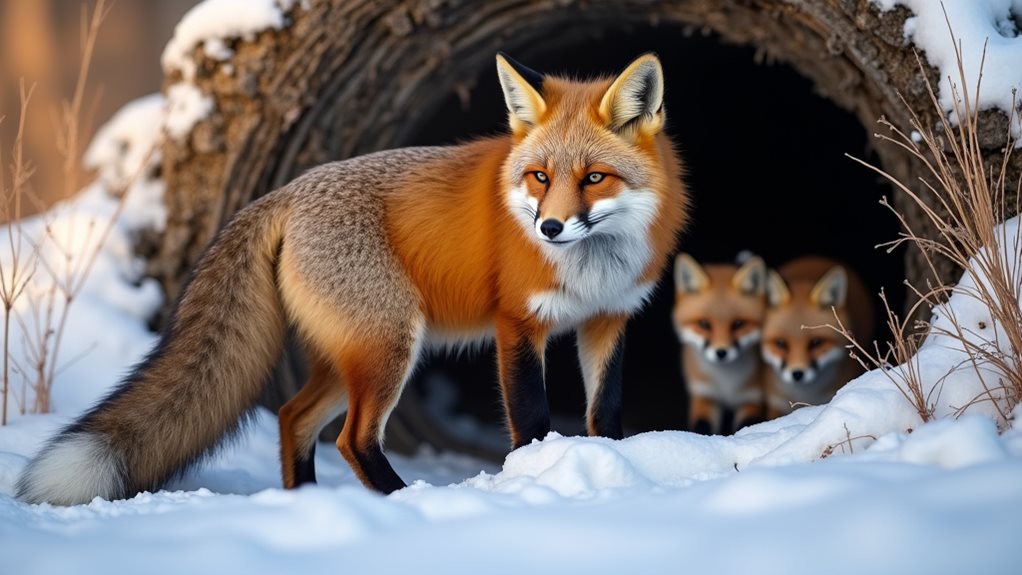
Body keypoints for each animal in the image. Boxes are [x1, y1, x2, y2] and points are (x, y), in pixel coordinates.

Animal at [16, 53, 688, 505]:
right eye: (540, 177)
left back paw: (306, 505)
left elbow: (606, 412)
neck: (593, 269)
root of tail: (283, 193)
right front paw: (538, 480)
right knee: (351, 440)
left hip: (355, 358)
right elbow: (531, 419)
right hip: (389, 346)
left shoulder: (609, 319)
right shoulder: (518, 324)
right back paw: (405, 502)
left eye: (595, 178)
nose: (549, 228)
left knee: (293, 416)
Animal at [673, 253, 767, 435]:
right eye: (704, 324)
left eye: (738, 324)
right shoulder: (704, 395)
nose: (721, 352)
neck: (727, 384)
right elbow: (701, 426)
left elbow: (746, 425)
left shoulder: (752, 398)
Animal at [760, 257, 874, 418]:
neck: (804, 396)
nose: (797, 374)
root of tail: (816, 258)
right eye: (781, 343)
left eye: (816, 342)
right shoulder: (776, 402)